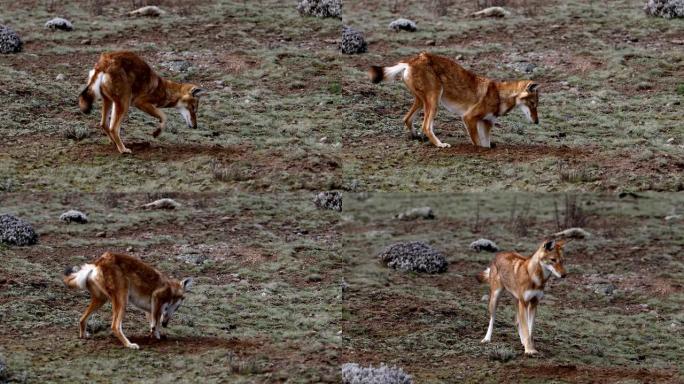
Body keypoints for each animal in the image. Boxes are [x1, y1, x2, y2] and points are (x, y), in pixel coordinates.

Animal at [63, 254, 192, 350]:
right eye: (177, 307)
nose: (166, 324)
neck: (171, 288)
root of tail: (98, 262)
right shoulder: (157, 299)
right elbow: (156, 324)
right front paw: (157, 337)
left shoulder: (150, 310)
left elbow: (153, 324)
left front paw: (156, 337)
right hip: (122, 301)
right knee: (115, 326)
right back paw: (129, 345)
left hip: (101, 300)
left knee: (82, 319)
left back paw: (84, 336)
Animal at [368, 53, 540, 149]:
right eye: (533, 104)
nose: (537, 122)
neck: (500, 95)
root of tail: (412, 60)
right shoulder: (469, 118)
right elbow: (478, 144)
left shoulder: (486, 123)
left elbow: (486, 144)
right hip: (434, 101)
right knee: (426, 126)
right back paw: (440, 145)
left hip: (422, 101)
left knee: (407, 119)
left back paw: (417, 137)